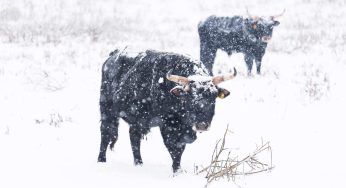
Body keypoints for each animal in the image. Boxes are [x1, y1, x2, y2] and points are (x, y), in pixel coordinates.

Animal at [98, 49, 238, 173]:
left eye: (213, 96)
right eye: (189, 96)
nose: (202, 125)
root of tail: (113, 55)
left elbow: (181, 147)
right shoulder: (167, 125)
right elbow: (173, 148)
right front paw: (176, 170)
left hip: (137, 121)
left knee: (134, 137)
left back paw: (139, 163)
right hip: (106, 110)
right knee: (105, 133)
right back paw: (101, 160)